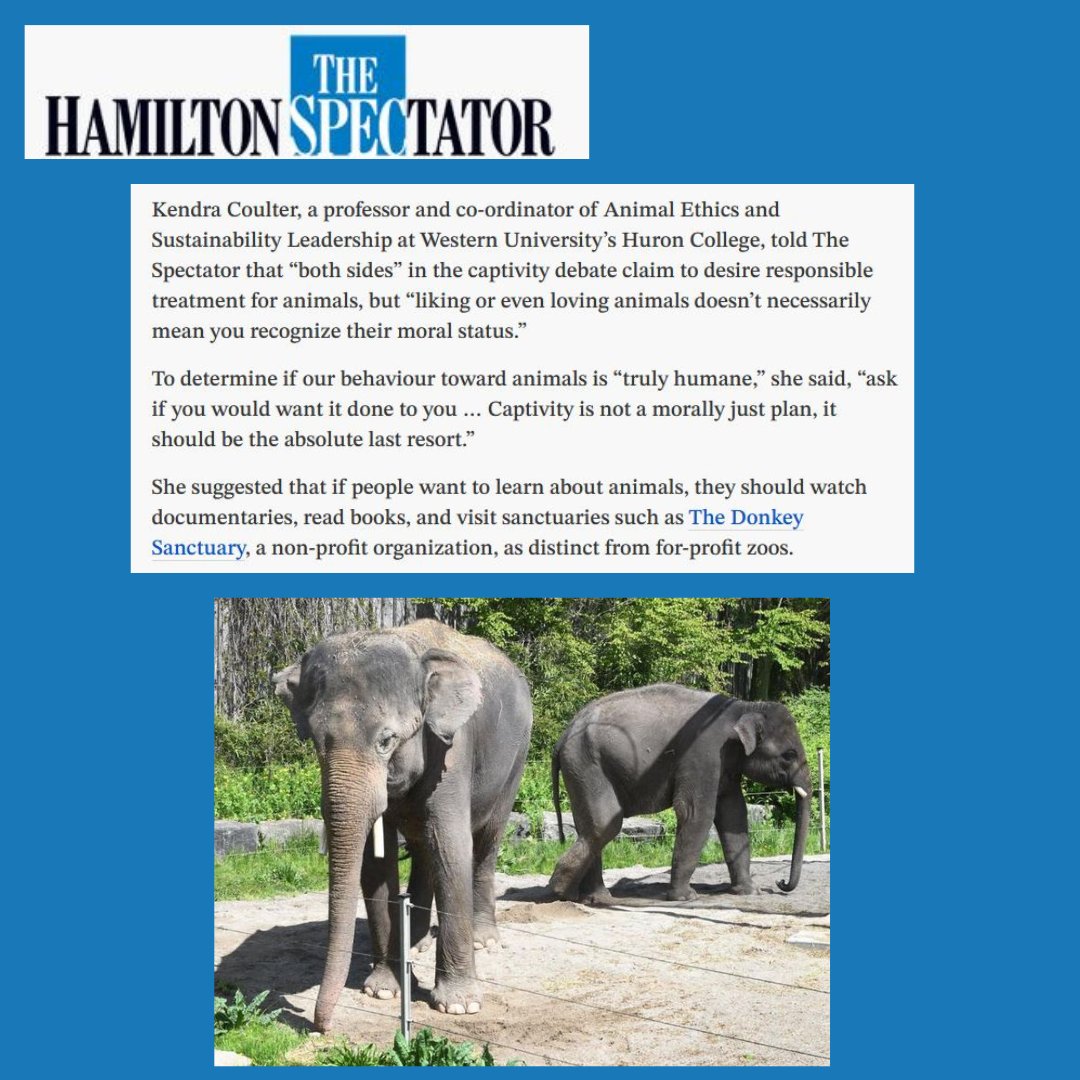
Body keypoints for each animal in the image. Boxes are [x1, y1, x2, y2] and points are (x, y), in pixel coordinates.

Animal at [273, 619, 532, 1031]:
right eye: (315, 741)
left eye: (386, 740)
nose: (318, 1026)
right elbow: (375, 864)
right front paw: (382, 991)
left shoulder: (452, 749)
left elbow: (452, 846)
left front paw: (459, 1006)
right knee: (425, 848)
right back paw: (417, 942)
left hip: (516, 758)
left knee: (485, 842)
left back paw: (484, 941)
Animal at [548, 684, 811, 904]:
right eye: (789, 755)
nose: (779, 884)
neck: (745, 707)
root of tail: (561, 737)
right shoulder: (703, 754)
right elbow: (696, 813)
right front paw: (686, 898)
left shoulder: (726, 764)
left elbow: (734, 813)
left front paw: (750, 892)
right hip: (586, 764)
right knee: (604, 825)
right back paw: (562, 891)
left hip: (579, 769)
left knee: (590, 826)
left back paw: (594, 898)